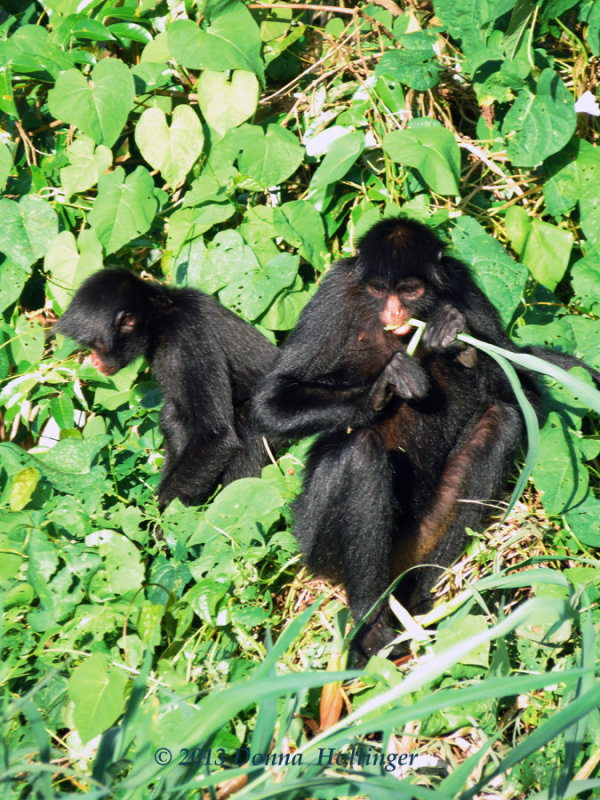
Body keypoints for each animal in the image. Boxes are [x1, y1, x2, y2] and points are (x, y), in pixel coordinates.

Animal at [57, 268, 278, 506]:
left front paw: (154, 515)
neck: (162, 318)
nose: (95, 361)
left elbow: (215, 435)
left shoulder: (186, 335)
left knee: (247, 418)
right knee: (173, 417)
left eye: (98, 346)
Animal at [253, 216, 600, 664]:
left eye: (410, 291)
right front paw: (386, 384)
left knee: (501, 421)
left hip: (422, 535)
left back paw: (420, 603)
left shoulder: (463, 286)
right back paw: (371, 624)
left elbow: (528, 398)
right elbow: (271, 402)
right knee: (361, 451)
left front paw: (455, 339)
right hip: (316, 543)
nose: (393, 311)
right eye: (377, 291)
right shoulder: (334, 292)